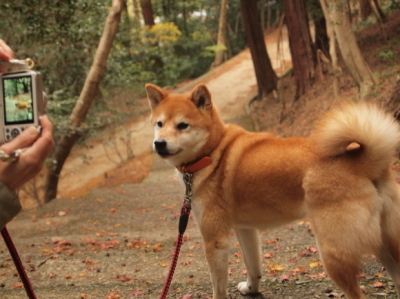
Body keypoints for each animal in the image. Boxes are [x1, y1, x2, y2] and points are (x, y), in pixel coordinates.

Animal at [145, 83, 400, 299]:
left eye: (182, 125)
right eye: (159, 124)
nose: (159, 143)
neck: (213, 152)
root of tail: (364, 162)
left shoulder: (215, 240)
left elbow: (218, 287)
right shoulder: (245, 229)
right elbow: (253, 267)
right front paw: (251, 289)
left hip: (334, 253)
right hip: (386, 244)